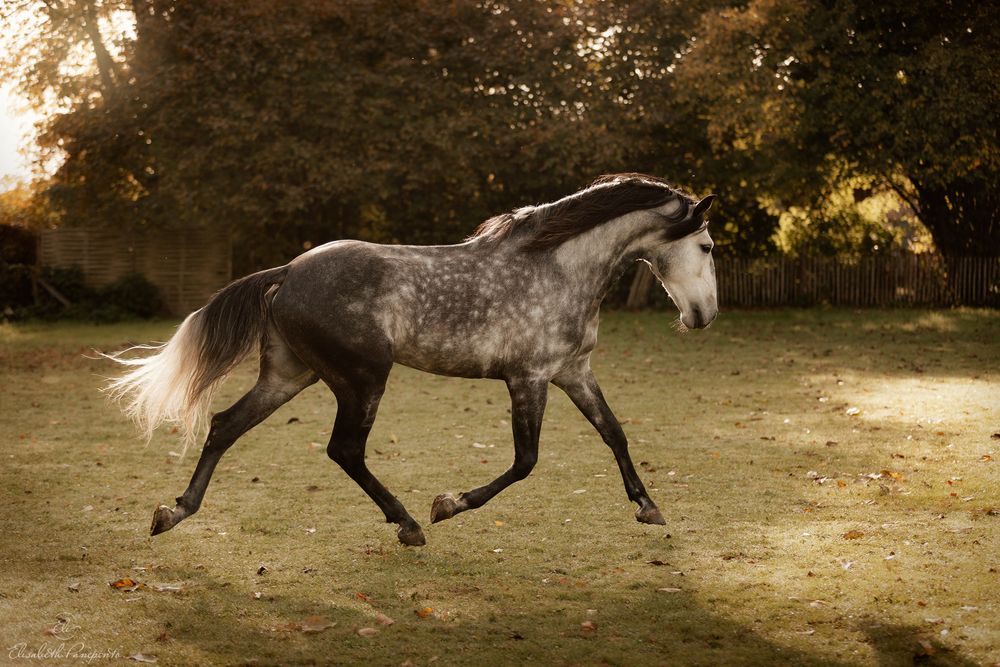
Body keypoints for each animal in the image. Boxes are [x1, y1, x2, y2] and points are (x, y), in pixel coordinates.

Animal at [106, 173, 718, 547]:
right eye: (708, 246)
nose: (703, 316)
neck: (559, 268)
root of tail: (288, 271)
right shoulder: (529, 379)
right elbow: (526, 461)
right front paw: (448, 504)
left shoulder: (574, 372)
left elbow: (615, 433)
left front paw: (648, 507)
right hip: (361, 378)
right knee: (344, 450)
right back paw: (406, 524)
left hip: (291, 374)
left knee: (225, 425)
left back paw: (174, 512)